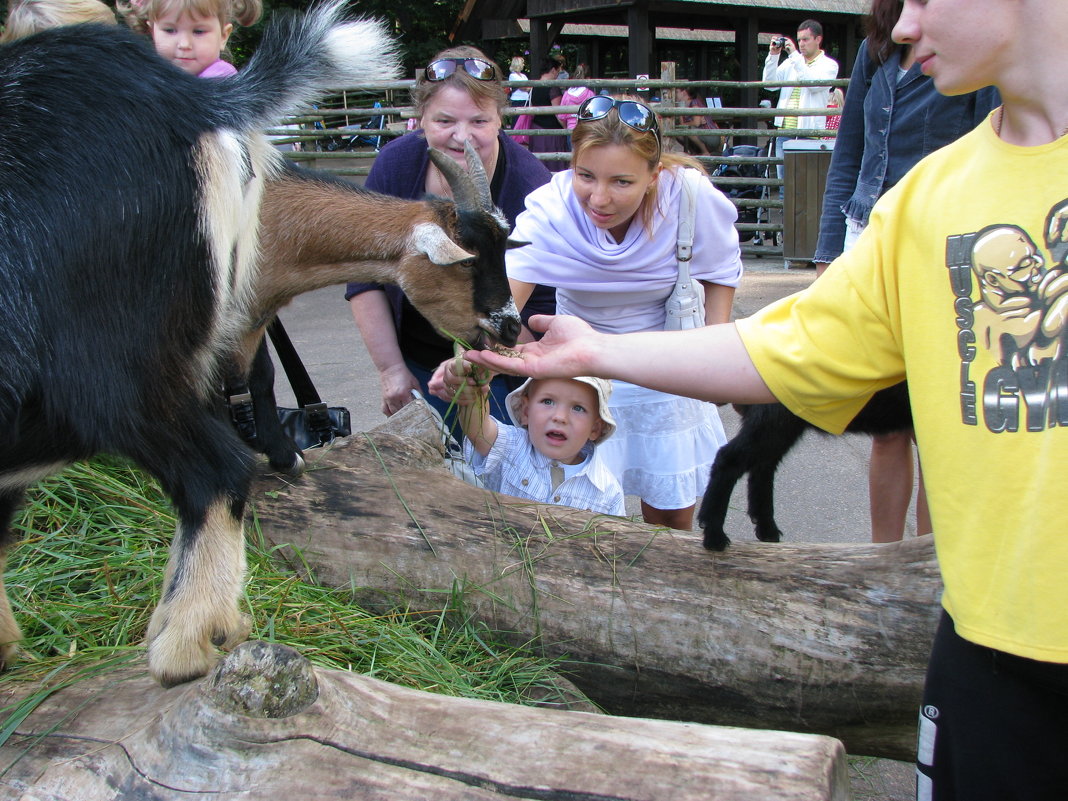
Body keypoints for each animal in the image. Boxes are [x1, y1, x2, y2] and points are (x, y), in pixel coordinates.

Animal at [0, 3, 521, 687]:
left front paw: (278, 451)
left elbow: (260, 377)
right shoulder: (213, 329)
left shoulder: (252, 317)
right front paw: (279, 454)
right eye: (468, 263)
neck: (275, 220)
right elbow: (251, 384)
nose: (512, 326)